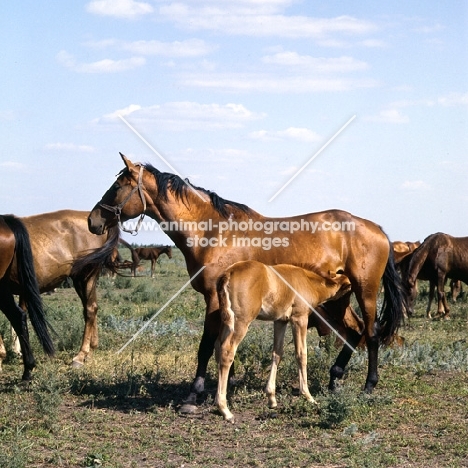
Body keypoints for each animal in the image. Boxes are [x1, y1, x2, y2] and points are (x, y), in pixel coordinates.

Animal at [7, 210, 119, 368]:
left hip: (87, 276)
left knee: (90, 308)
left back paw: (81, 355)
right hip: (80, 280)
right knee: (90, 307)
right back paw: (91, 350)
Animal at [216, 262, 352, 422]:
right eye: (349, 292)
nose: (345, 316)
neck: (308, 281)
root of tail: (228, 273)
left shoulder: (280, 321)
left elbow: (277, 353)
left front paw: (271, 398)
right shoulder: (299, 319)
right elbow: (301, 354)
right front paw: (308, 396)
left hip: (226, 323)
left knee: (218, 347)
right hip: (241, 322)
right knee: (227, 352)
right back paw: (225, 410)